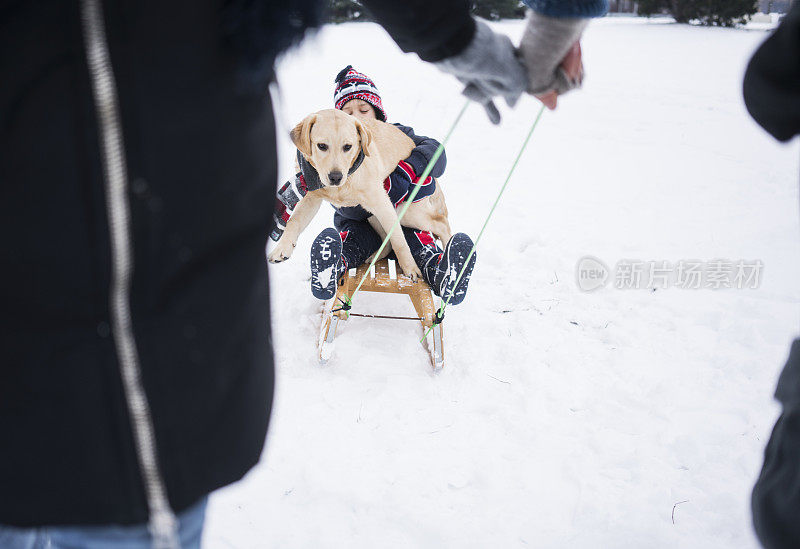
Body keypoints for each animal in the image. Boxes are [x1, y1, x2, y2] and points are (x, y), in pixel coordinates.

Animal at [270, 107, 450, 280]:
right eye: (321, 146)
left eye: (347, 147)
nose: (335, 177)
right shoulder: (310, 198)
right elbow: (293, 222)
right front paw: (281, 249)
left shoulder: (382, 203)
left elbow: (400, 241)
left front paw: (410, 269)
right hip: (373, 214)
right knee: (386, 238)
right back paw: (374, 256)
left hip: (405, 212)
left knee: (442, 224)